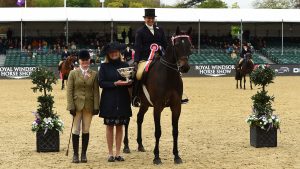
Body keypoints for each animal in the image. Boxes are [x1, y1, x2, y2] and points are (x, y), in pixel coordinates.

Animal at [123, 27, 192, 164]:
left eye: (189, 45)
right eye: (177, 45)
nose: (185, 67)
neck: (168, 75)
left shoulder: (176, 106)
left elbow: (175, 131)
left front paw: (177, 156)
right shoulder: (158, 107)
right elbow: (158, 131)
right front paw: (156, 157)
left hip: (144, 104)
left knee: (139, 118)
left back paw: (140, 145)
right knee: (126, 121)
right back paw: (126, 146)